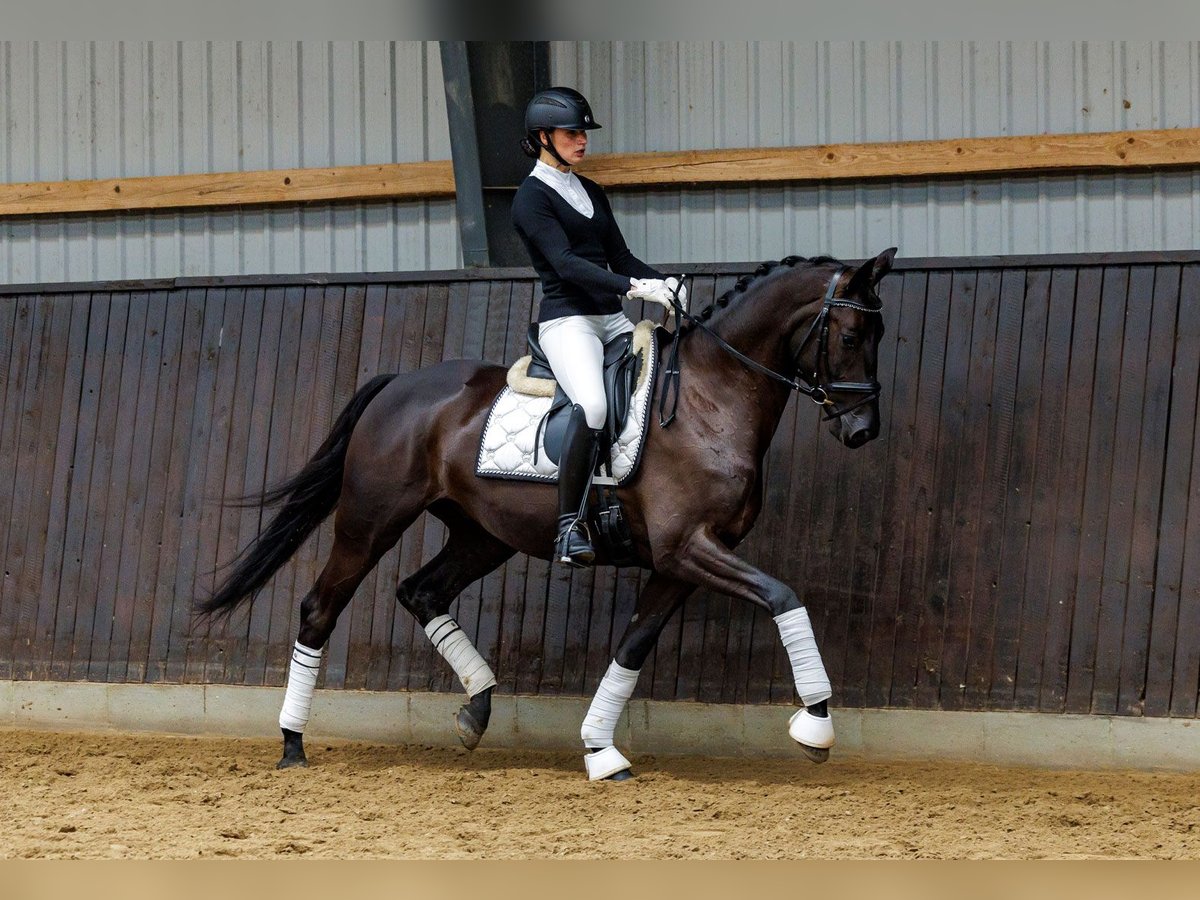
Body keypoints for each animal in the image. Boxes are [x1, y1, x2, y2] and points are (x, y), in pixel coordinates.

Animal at [201, 248, 897, 782]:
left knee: (421, 590)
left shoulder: (681, 562)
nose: (863, 430)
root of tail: (399, 384)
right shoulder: (689, 548)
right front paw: (816, 724)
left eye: (881, 337)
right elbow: (784, 596)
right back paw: (293, 745)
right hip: (370, 522)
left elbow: (633, 646)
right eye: (852, 336)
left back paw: (476, 710)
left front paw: (600, 750)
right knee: (321, 608)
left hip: (483, 536)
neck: (709, 399)